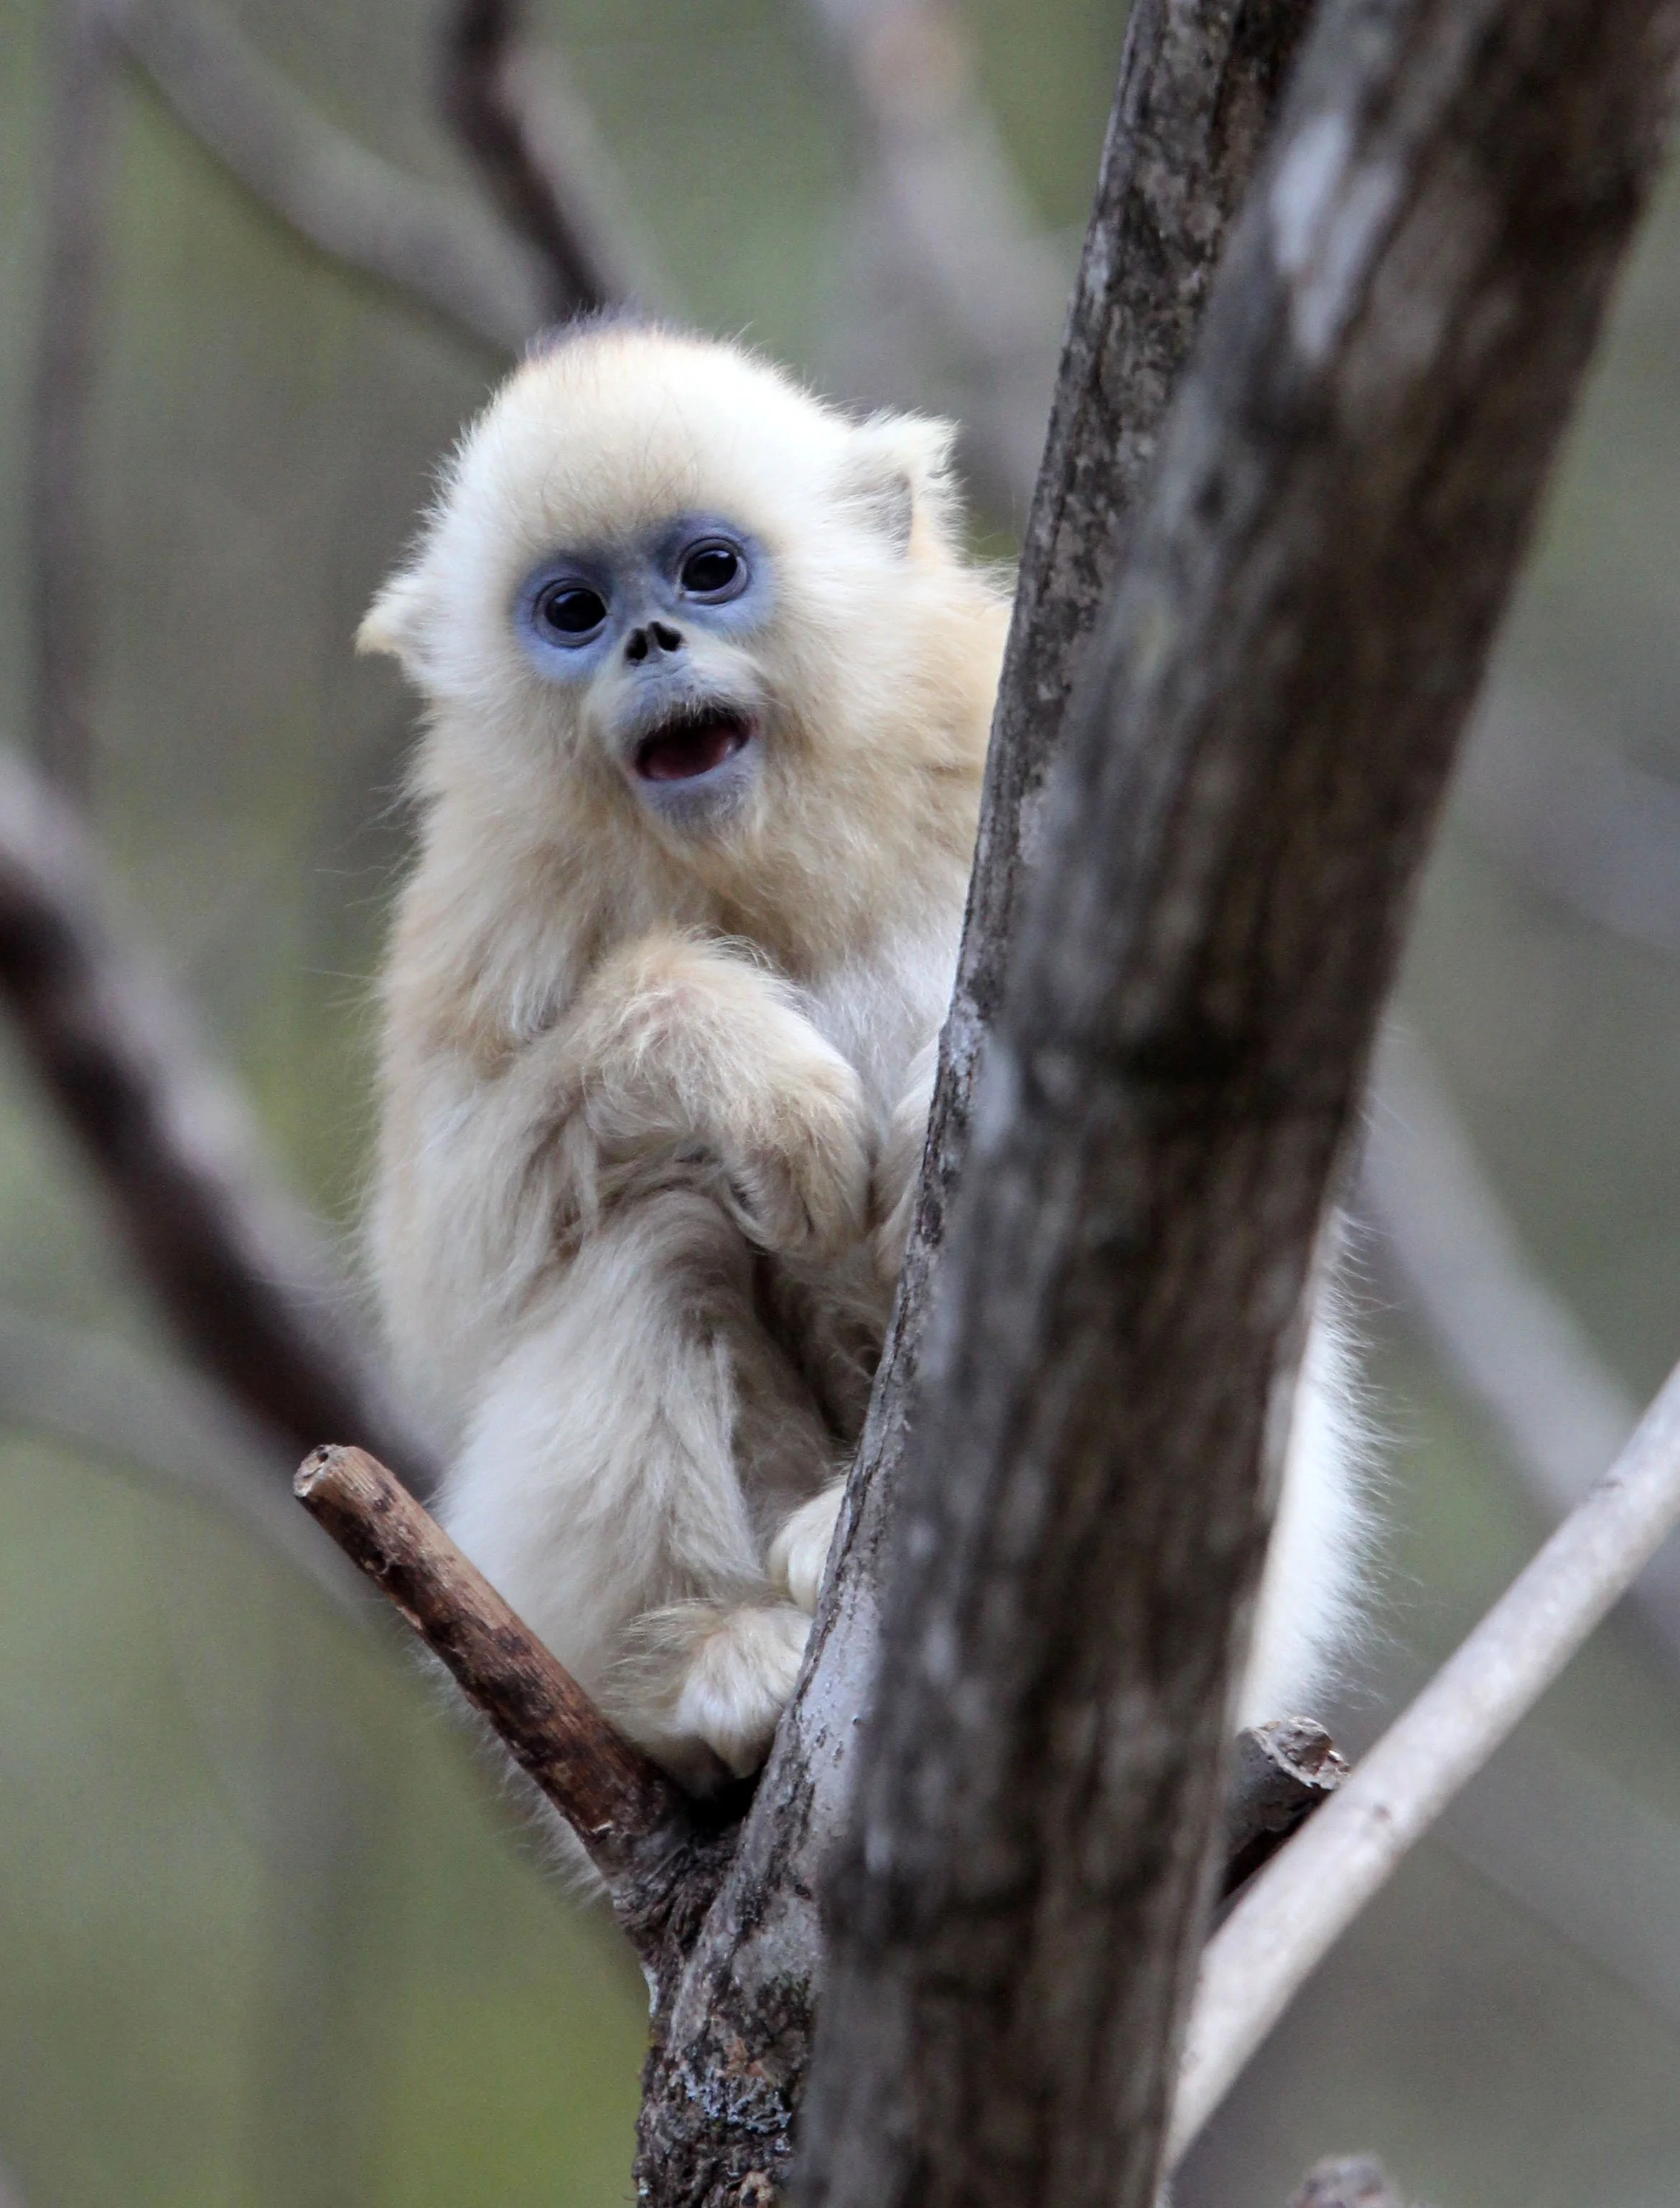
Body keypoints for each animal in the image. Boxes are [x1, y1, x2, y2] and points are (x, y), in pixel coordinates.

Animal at [360, 320, 1369, 1797]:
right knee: (653, 1223)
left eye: (708, 571)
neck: (772, 843)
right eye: (574, 610)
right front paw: (762, 1086)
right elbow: (446, 1276)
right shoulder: (490, 901)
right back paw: (711, 1660)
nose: (650, 639)